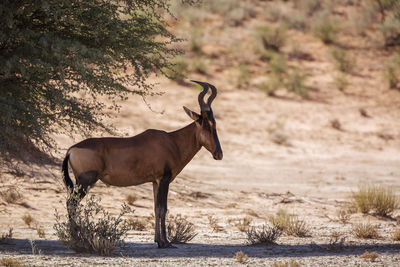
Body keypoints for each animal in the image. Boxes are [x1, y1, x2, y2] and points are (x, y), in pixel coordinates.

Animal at [63, 80, 223, 249]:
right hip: (85, 181)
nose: (219, 154)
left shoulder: (155, 182)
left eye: (215, 124)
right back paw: (77, 238)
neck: (172, 141)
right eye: (207, 125)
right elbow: (163, 209)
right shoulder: (164, 180)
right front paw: (165, 243)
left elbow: (155, 208)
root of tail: (71, 149)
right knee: (71, 204)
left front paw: (158, 240)